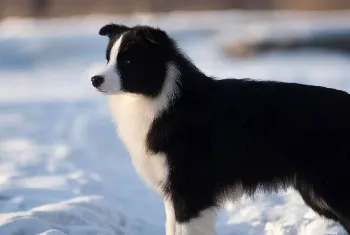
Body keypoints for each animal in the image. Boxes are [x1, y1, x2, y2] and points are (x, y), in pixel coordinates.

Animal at [91, 23, 350, 233]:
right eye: (108, 59)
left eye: (127, 61)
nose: (94, 80)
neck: (162, 97)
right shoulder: (173, 193)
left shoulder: (190, 192)